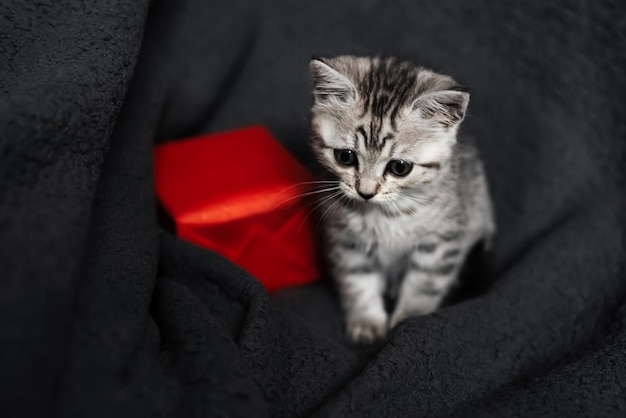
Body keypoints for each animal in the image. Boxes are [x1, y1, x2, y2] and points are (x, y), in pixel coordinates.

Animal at [308, 56, 492, 342]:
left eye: (400, 167)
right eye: (345, 157)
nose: (366, 192)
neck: (383, 214)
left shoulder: (441, 241)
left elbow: (424, 285)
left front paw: (410, 321)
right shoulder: (346, 240)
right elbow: (357, 281)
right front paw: (367, 322)